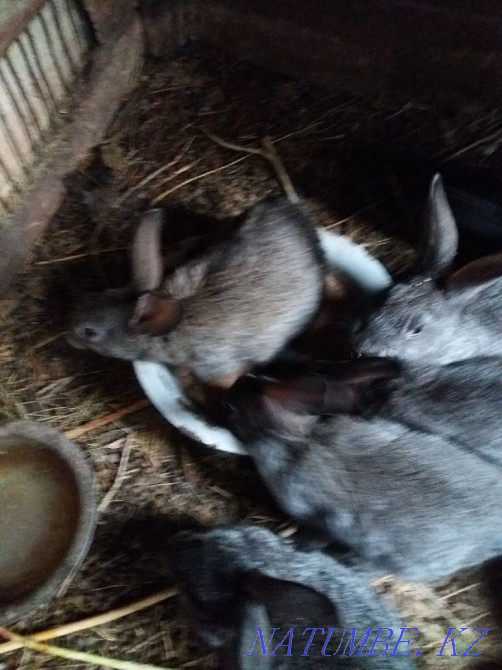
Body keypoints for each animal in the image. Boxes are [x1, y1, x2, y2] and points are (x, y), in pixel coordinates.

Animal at [222, 356, 502, 582]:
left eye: (232, 409)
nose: (232, 388)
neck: (300, 439)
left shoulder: (318, 513)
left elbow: (317, 533)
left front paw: (293, 541)